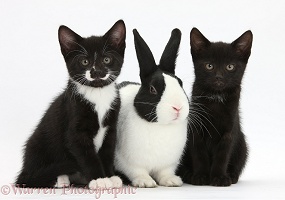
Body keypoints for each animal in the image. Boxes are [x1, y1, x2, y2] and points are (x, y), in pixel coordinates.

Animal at [15, 19, 125, 188]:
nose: (97, 72)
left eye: (106, 59)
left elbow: (107, 152)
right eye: (84, 61)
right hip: (37, 144)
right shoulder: (75, 129)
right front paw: (99, 179)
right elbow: (88, 156)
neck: (98, 93)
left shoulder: (111, 127)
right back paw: (60, 179)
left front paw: (111, 176)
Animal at [113, 29, 189, 188]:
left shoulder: (167, 165)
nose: (178, 107)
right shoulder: (128, 162)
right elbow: (137, 172)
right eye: (152, 89)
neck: (160, 126)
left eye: (180, 83)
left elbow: (164, 173)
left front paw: (172, 181)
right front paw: (146, 182)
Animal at [179, 27, 252, 187]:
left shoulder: (229, 131)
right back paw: (188, 174)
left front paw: (219, 177)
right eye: (209, 66)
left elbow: (222, 155)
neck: (216, 98)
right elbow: (199, 154)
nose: (218, 76)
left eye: (230, 67)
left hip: (242, 145)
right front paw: (201, 176)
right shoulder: (196, 129)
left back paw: (232, 176)